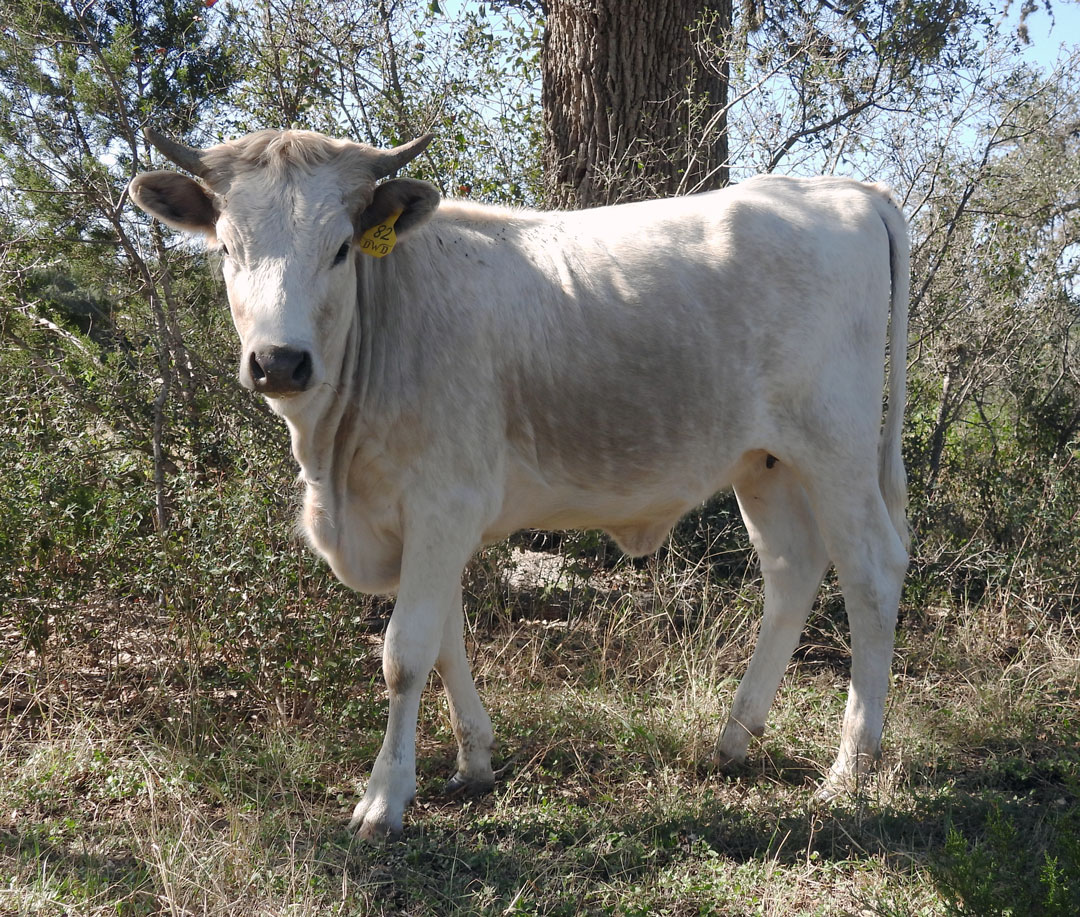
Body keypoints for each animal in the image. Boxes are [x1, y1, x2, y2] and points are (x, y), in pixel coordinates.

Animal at [132, 126, 911, 838]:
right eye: (227, 248)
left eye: (341, 248)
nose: (279, 362)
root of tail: (848, 190)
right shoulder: (421, 518)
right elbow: (447, 637)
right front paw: (473, 759)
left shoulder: (443, 500)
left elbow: (405, 652)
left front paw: (383, 801)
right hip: (765, 460)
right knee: (791, 569)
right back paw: (734, 739)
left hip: (836, 445)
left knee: (872, 572)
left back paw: (850, 768)